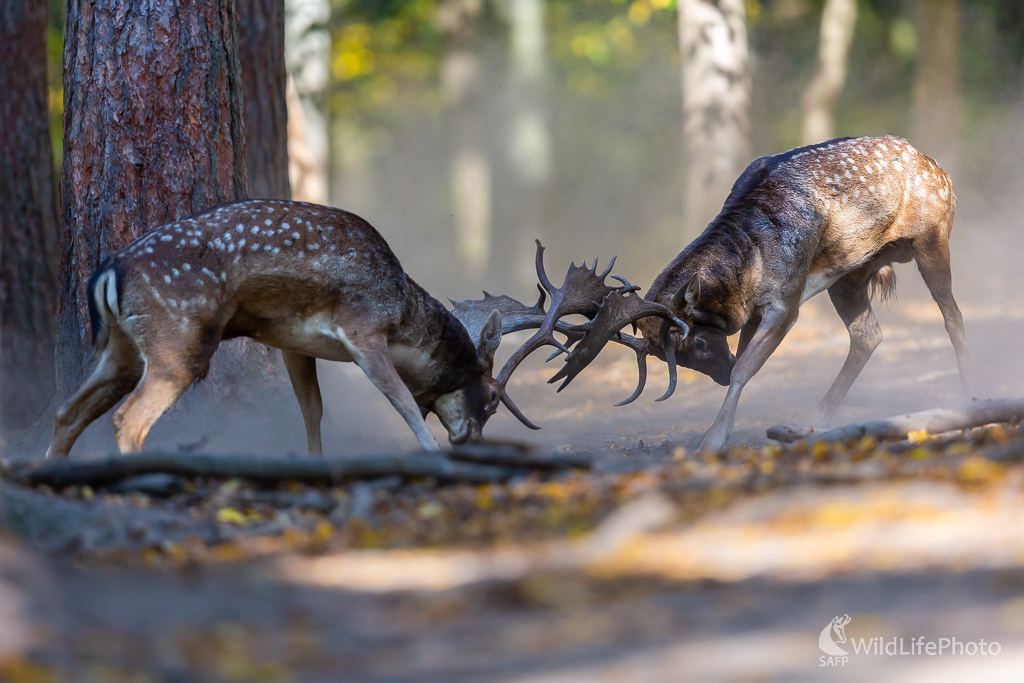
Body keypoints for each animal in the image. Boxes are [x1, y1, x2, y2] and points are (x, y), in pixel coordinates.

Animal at [48, 202, 540, 458]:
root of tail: (107, 272)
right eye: (492, 397)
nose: (472, 440)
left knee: (68, 411)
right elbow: (402, 401)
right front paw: (432, 454)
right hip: (178, 339)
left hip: (122, 348)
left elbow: (312, 410)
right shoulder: (362, 328)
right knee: (128, 419)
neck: (402, 315)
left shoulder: (293, 344)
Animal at [544, 136, 966, 450]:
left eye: (697, 343)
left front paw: (712, 440)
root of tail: (941, 170)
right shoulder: (753, 311)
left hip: (933, 235)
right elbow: (745, 363)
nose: (719, 374)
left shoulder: (786, 300)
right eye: (675, 359)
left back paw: (968, 395)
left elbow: (746, 366)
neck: (747, 270)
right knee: (868, 334)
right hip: (849, 274)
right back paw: (814, 421)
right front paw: (721, 429)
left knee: (953, 317)